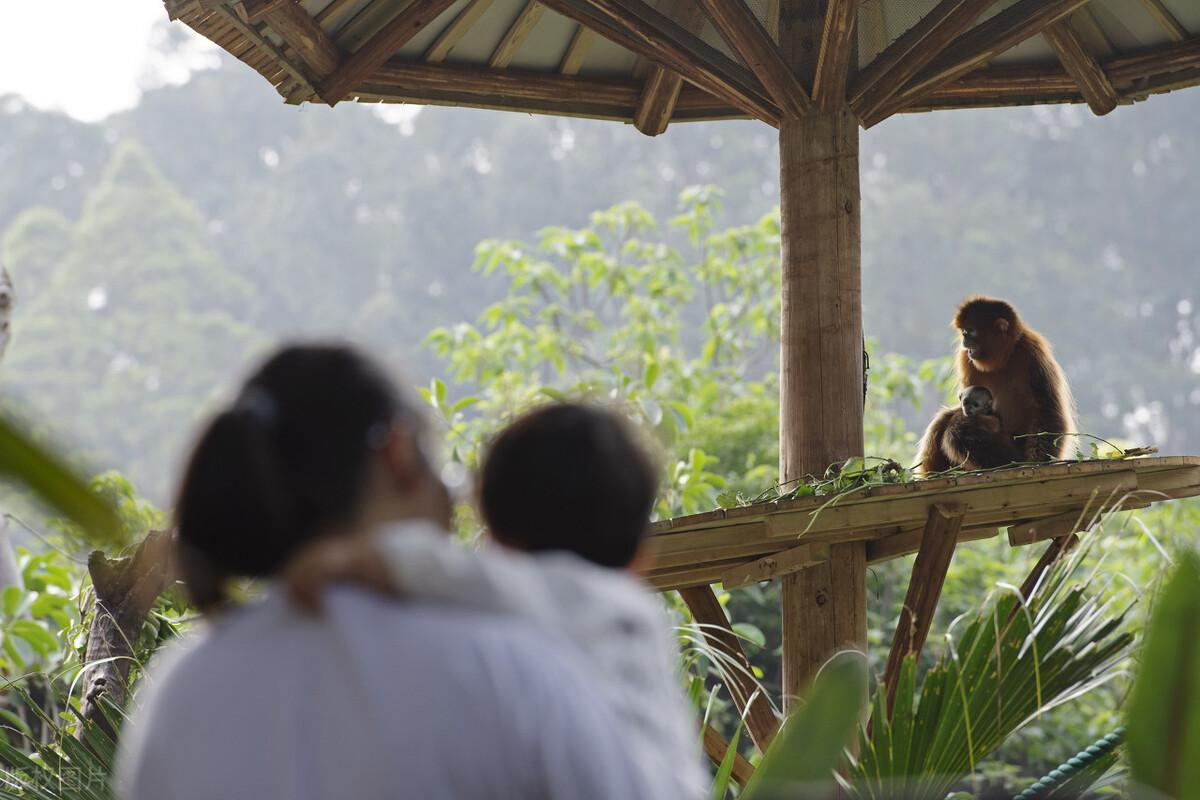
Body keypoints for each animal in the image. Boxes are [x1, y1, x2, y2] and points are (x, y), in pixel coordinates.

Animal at [916, 299, 1080, 474]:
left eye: (970, 331)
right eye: (964, 332)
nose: (964, 341)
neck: (1003, 359)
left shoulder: (1033, 350)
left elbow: (1047, 410)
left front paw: (1037, 463)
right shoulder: (965, 357)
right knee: (947, 418)